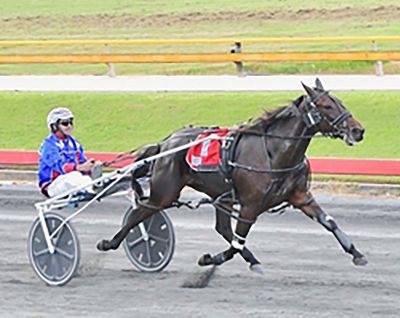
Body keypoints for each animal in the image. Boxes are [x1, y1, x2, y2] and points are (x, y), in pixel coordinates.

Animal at [97, 79, 368, 274]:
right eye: (327, 106)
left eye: (340, 101)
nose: (358, 130)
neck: (273, 152)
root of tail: (165, 143)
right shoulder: (250, 206)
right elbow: (237, 243)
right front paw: (210, 259)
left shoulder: (300, 195)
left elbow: (329, 222)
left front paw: (357, 253)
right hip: (165, 193)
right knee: (139, 213)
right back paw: (110, 243)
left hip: (221, 196)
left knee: (220, 227)